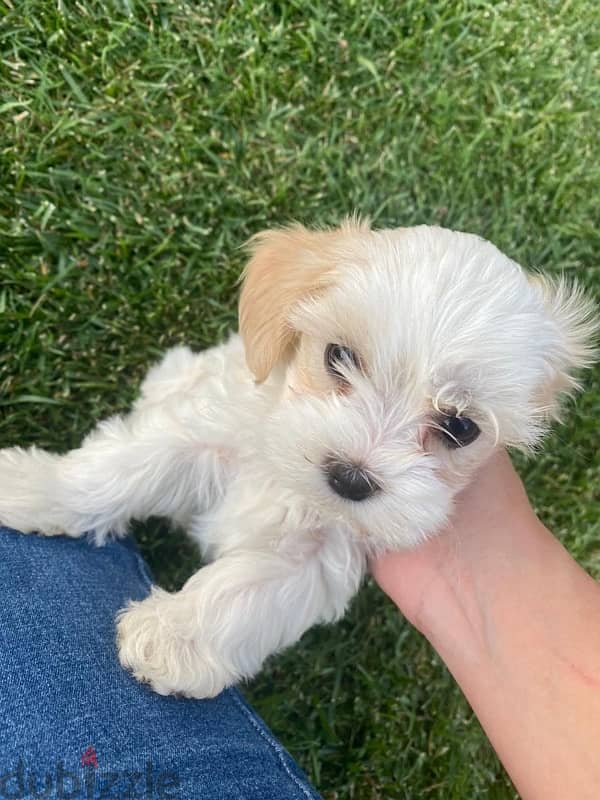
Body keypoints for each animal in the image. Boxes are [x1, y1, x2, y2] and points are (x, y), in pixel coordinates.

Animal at [0, 222, 596, 696]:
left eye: (460, 427)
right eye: (339, 357)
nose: (350, 477)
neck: (285, 481)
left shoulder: (318, 557)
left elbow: (247, 593)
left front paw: (173, 637)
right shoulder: (200, 435)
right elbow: (114, 471)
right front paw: (35, 485)